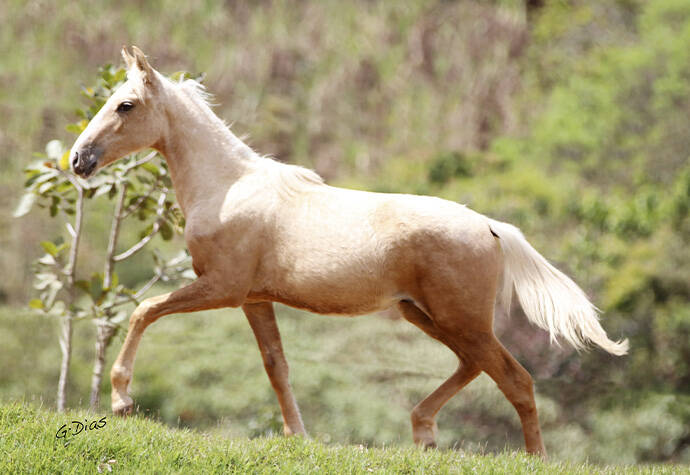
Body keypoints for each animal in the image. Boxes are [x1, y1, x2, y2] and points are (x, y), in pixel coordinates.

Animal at [71, 47, 628, 458]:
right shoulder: (254, 299)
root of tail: (492, 227)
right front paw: (298, 436)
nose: (78, 159)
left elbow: (144, 310)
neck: (228, 187)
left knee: (515, 379)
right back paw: (423, 432)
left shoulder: (222, 289)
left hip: (459, 317)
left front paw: (121, 400)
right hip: (428, 315)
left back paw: (527, 455)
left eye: (125, 105)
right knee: (477, 366)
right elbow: (277, 366)